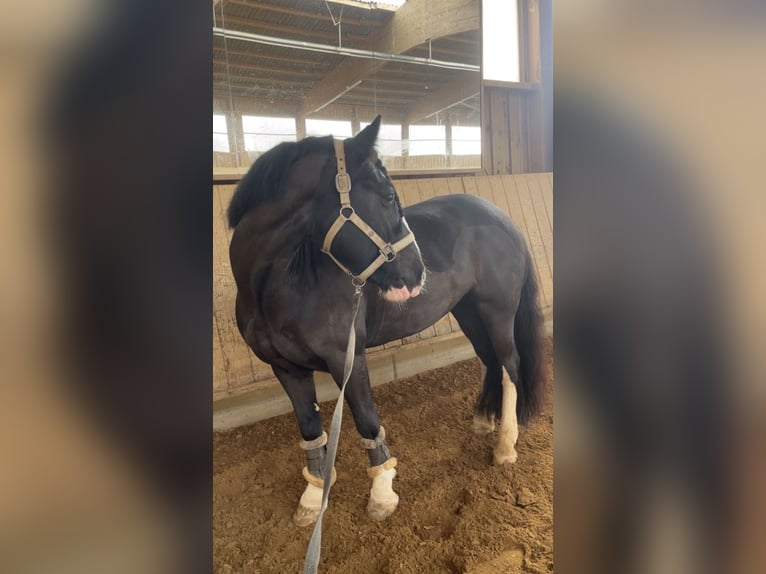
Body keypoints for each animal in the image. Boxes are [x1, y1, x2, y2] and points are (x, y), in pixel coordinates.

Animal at [227, 116, 547, 527]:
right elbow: (310, 428)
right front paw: (314, 497)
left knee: (509, 365)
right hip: (468, 311)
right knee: (490, 360)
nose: (417, 272)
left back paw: (505, 446)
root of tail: (501, 216)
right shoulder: (285, 368)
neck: (285, 285)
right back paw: (482, 421)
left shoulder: (347, 358)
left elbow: (366, 419)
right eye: (388, 197)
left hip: (497, 310)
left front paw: (382, 493)